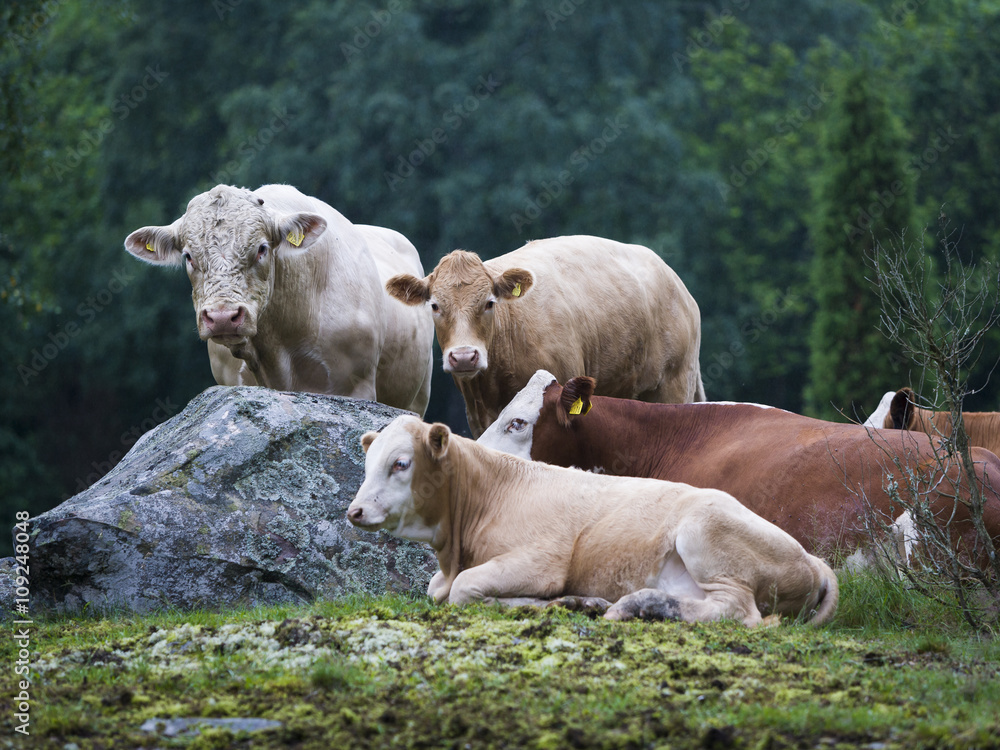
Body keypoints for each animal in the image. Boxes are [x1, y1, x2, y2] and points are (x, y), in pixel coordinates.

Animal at [348, 418, 840, 628]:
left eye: (400, 463)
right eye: (367, 462)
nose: (354, 511)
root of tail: (813, 559)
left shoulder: (544, 560)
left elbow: (465, 590)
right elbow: (443, 592)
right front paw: (571, 603)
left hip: (705, 531)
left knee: (739, 611)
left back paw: (635, 606)